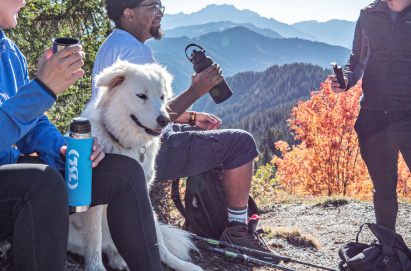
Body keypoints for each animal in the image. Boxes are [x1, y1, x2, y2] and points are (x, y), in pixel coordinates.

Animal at [68, 60, 204, 271]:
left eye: (162, 97)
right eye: (141, 95)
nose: (165, 120)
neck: (124, 142)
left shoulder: (141, 189)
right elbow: (94, 238)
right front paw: (95, 267)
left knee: (158, 243)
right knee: (102, 243)